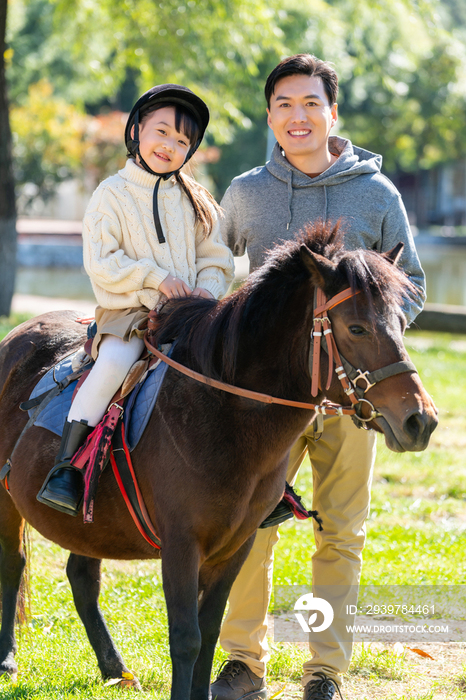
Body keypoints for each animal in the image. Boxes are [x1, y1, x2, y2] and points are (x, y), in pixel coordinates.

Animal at [0, 226, 436, 700]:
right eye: (356, 327)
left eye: (402, 324)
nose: (420, 420)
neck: (223, 413)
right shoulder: (181, 544)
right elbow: (185, 637)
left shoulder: (236, 545)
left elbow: (209, 631)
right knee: (13, 563)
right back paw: (8, 660)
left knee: (81, 577)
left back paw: (113, 667)